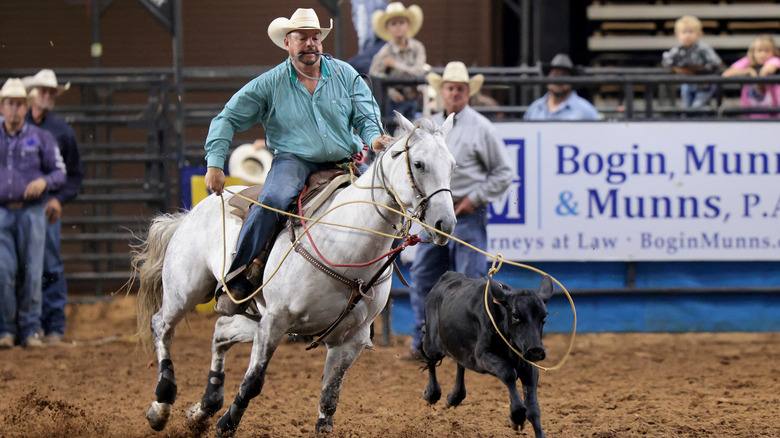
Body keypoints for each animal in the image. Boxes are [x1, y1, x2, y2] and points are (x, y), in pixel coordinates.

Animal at [131, 112, 454, 434]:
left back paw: (204, 409)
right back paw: (162, 404)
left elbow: (329, 399)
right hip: (186, 290)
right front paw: (226, 424)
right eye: (419, 164)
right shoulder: (275, 321)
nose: (445, 224)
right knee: (162, 325)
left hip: (251, 318)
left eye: (452, 165)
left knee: (221, 331)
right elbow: (253, 382)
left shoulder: (351, 339)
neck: (345, 242)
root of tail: (194, 210)